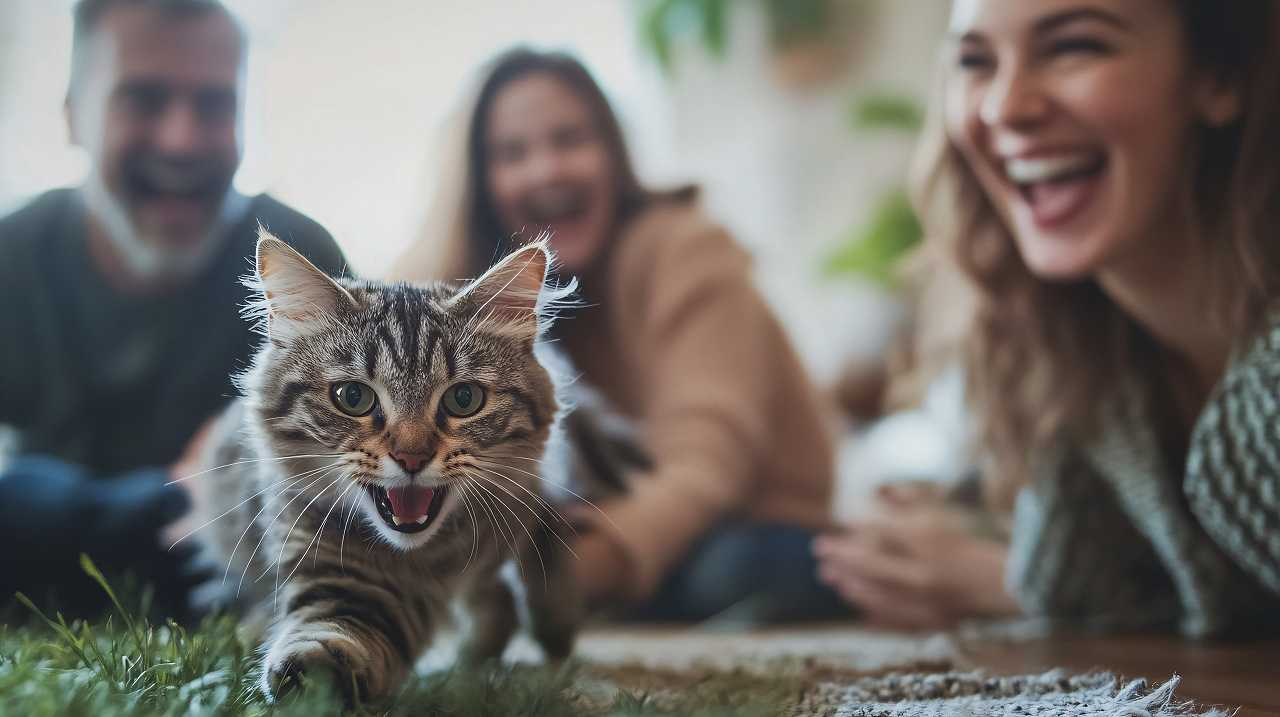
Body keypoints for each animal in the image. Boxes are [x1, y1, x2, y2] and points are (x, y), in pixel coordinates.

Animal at [186, 229, 593, 701]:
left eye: (464, 399)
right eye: (353, 397)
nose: (411, 456)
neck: (428, 558)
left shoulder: (522, 498)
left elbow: (540, 553)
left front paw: (547, 629)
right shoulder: (337, 572)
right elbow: (333, 630)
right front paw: (313, 682)